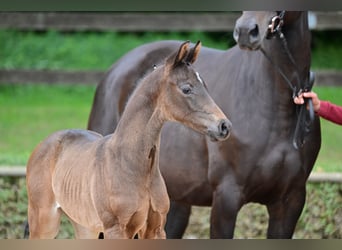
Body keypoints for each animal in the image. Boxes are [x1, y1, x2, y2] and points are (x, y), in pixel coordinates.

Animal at [25, 42, 231, 239]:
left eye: (205, 86)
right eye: (186, 89)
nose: (224, 126)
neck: (132, 165)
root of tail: (45, 143)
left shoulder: (155, 229)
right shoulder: (115, 229)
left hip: (85, 226)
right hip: (45, 221)